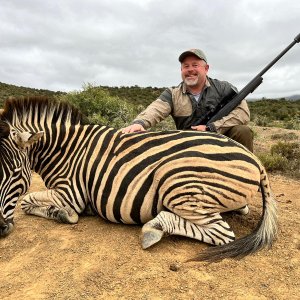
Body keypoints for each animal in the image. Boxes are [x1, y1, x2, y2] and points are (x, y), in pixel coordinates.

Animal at [0, 96, 278, 260]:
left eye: (15, 173)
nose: (1, 229)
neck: (65, 149)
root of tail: (255, 160)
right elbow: (28, 201)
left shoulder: (71, 193)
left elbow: (26, 201)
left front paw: (63, 214)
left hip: (177, 181)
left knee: (221, 233)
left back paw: (154, 228)